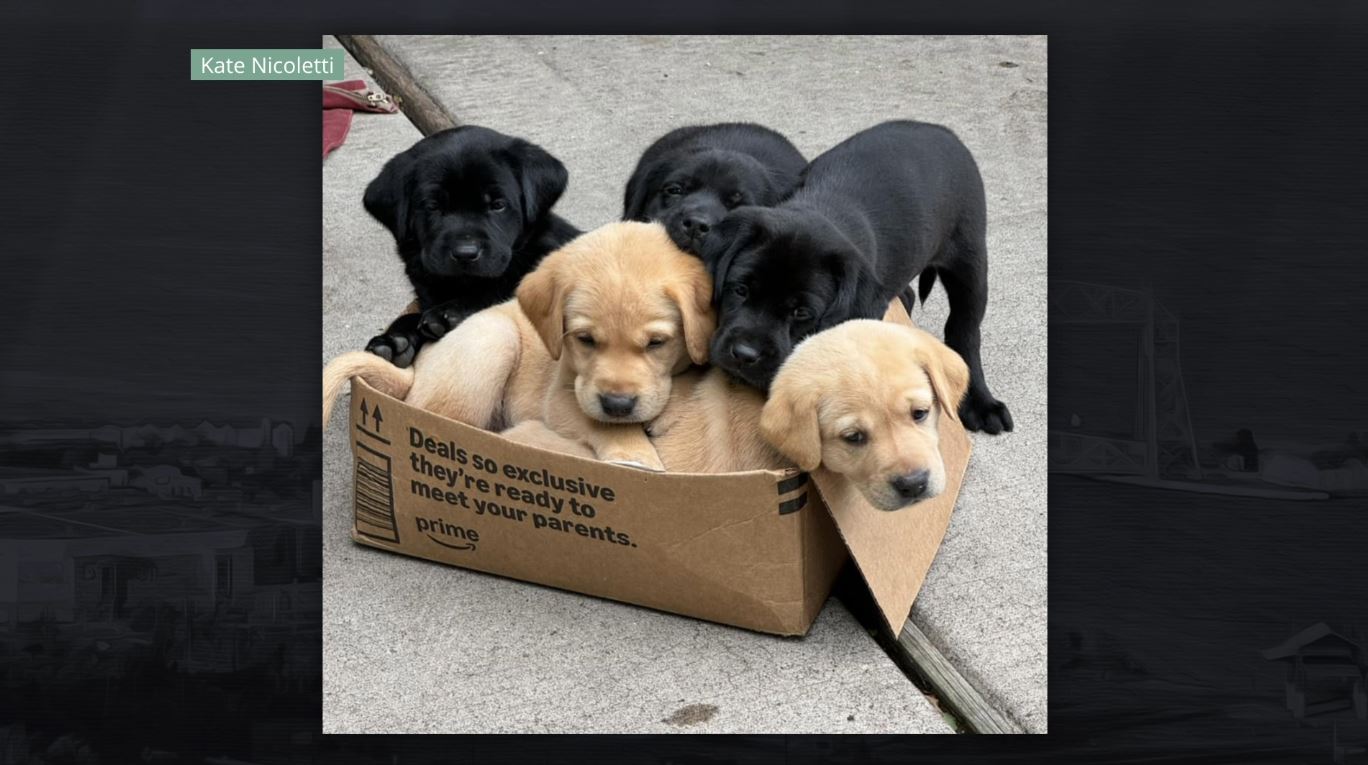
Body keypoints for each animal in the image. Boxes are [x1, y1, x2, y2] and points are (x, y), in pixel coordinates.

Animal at [320, 220, 711, 468]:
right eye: (584, 339)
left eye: (657, 343)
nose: (617, 405)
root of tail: (415, 372)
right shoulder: (562, 398)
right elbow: (602, 424)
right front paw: (635, 456)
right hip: (493, 341)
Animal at [361, 125, 580, 369]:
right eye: (432, 206)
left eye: (498, 205)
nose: (465, 254)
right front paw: (394, 338)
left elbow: (500, 295)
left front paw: (449, 313)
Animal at [711, 117, 1012, 435]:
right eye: (740, 290)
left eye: (801, 312)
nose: (744, 354)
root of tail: (939, 129)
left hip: (970, 259)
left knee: (964, 330)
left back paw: (981, 402)